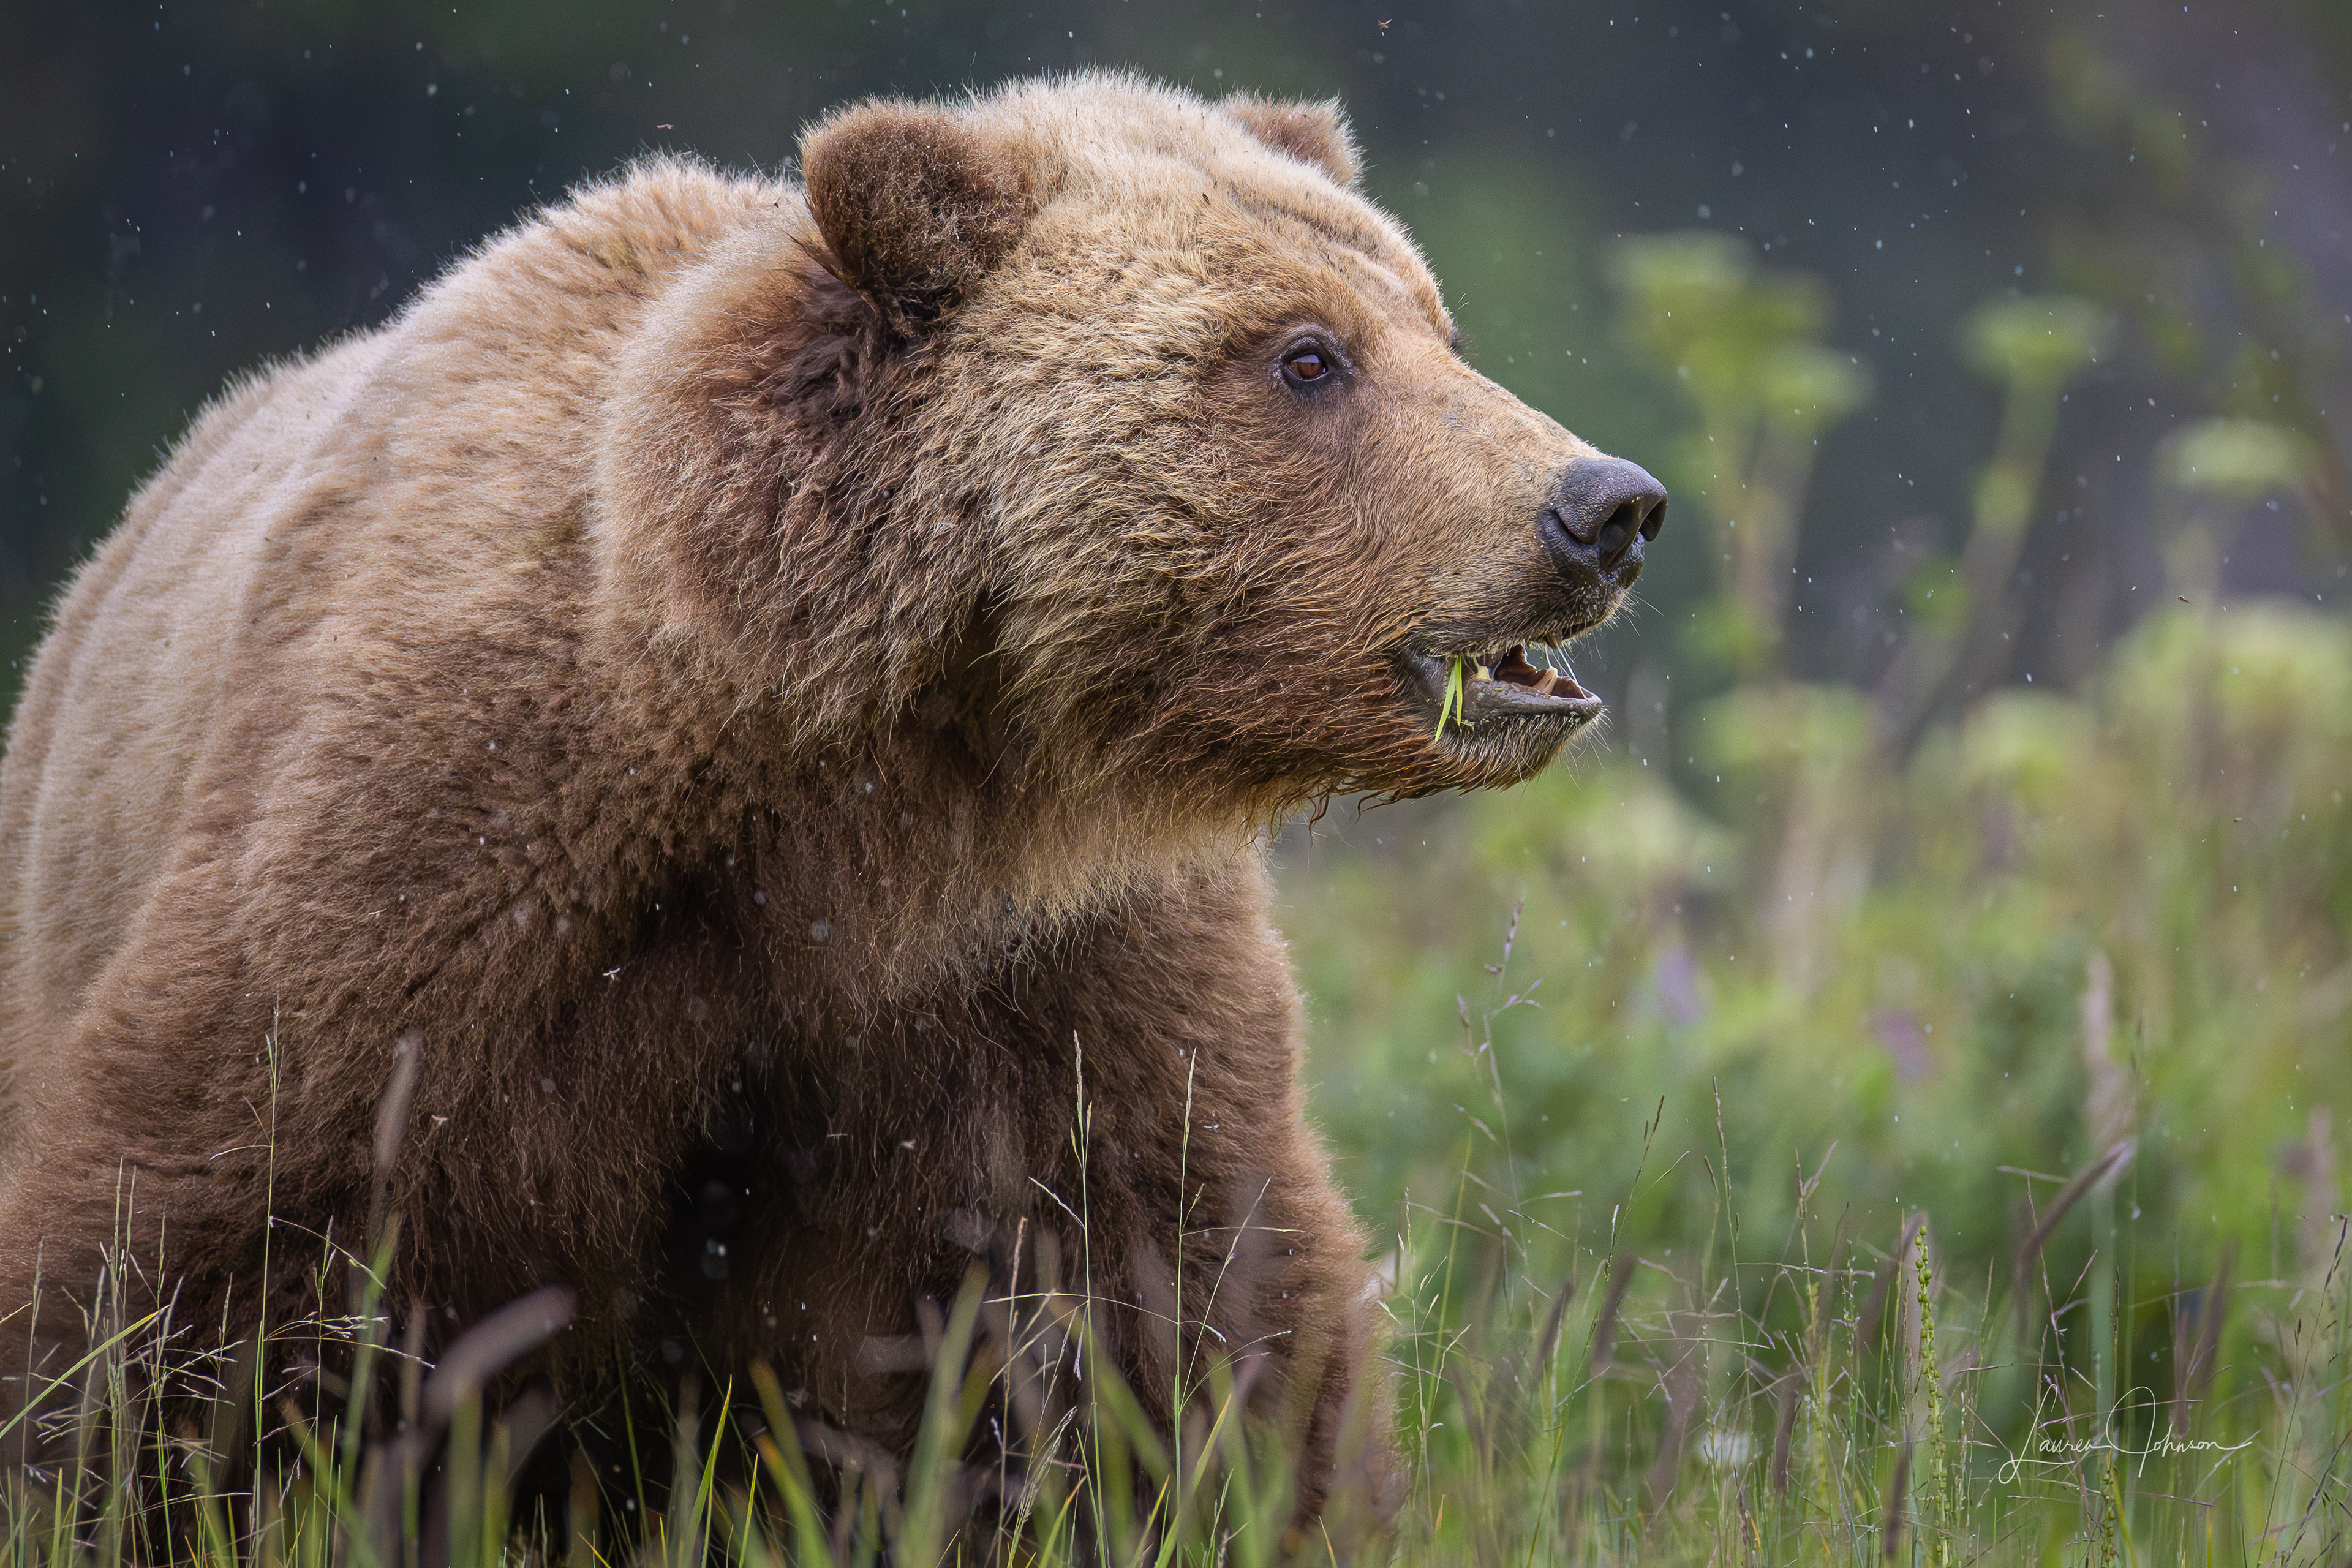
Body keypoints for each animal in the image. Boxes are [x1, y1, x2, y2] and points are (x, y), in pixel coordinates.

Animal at [0, 72, 1663, 1535]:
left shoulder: (1050, 961)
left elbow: (1177, 1288)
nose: (1604, 505)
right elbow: (211, 1248)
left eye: (1435, 323)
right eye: (1306, 354)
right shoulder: (444, 859)